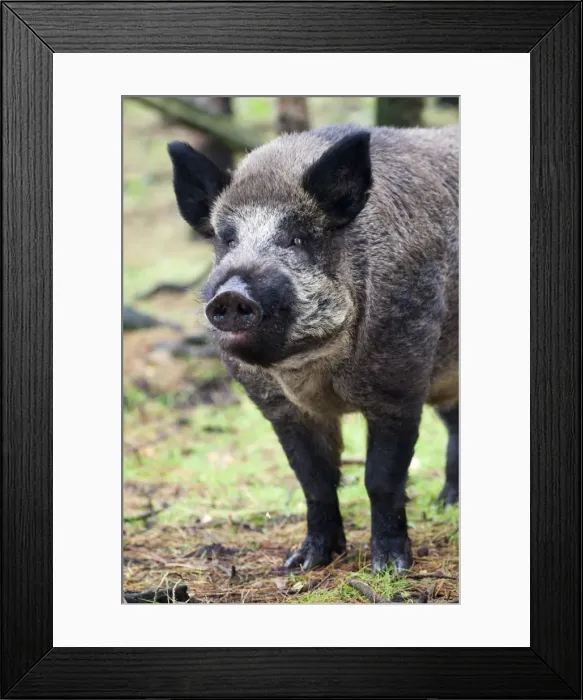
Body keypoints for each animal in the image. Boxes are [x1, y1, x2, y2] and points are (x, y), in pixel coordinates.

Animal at [168, 123, 458, 573]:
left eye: (297, 237)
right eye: (226, 240)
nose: (231, 295)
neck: (313, 374)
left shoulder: (400, 381)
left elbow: (381, 478)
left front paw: (388, 568)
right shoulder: (279, 408)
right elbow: (314, 480)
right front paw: (303, 564)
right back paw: (447, 507)